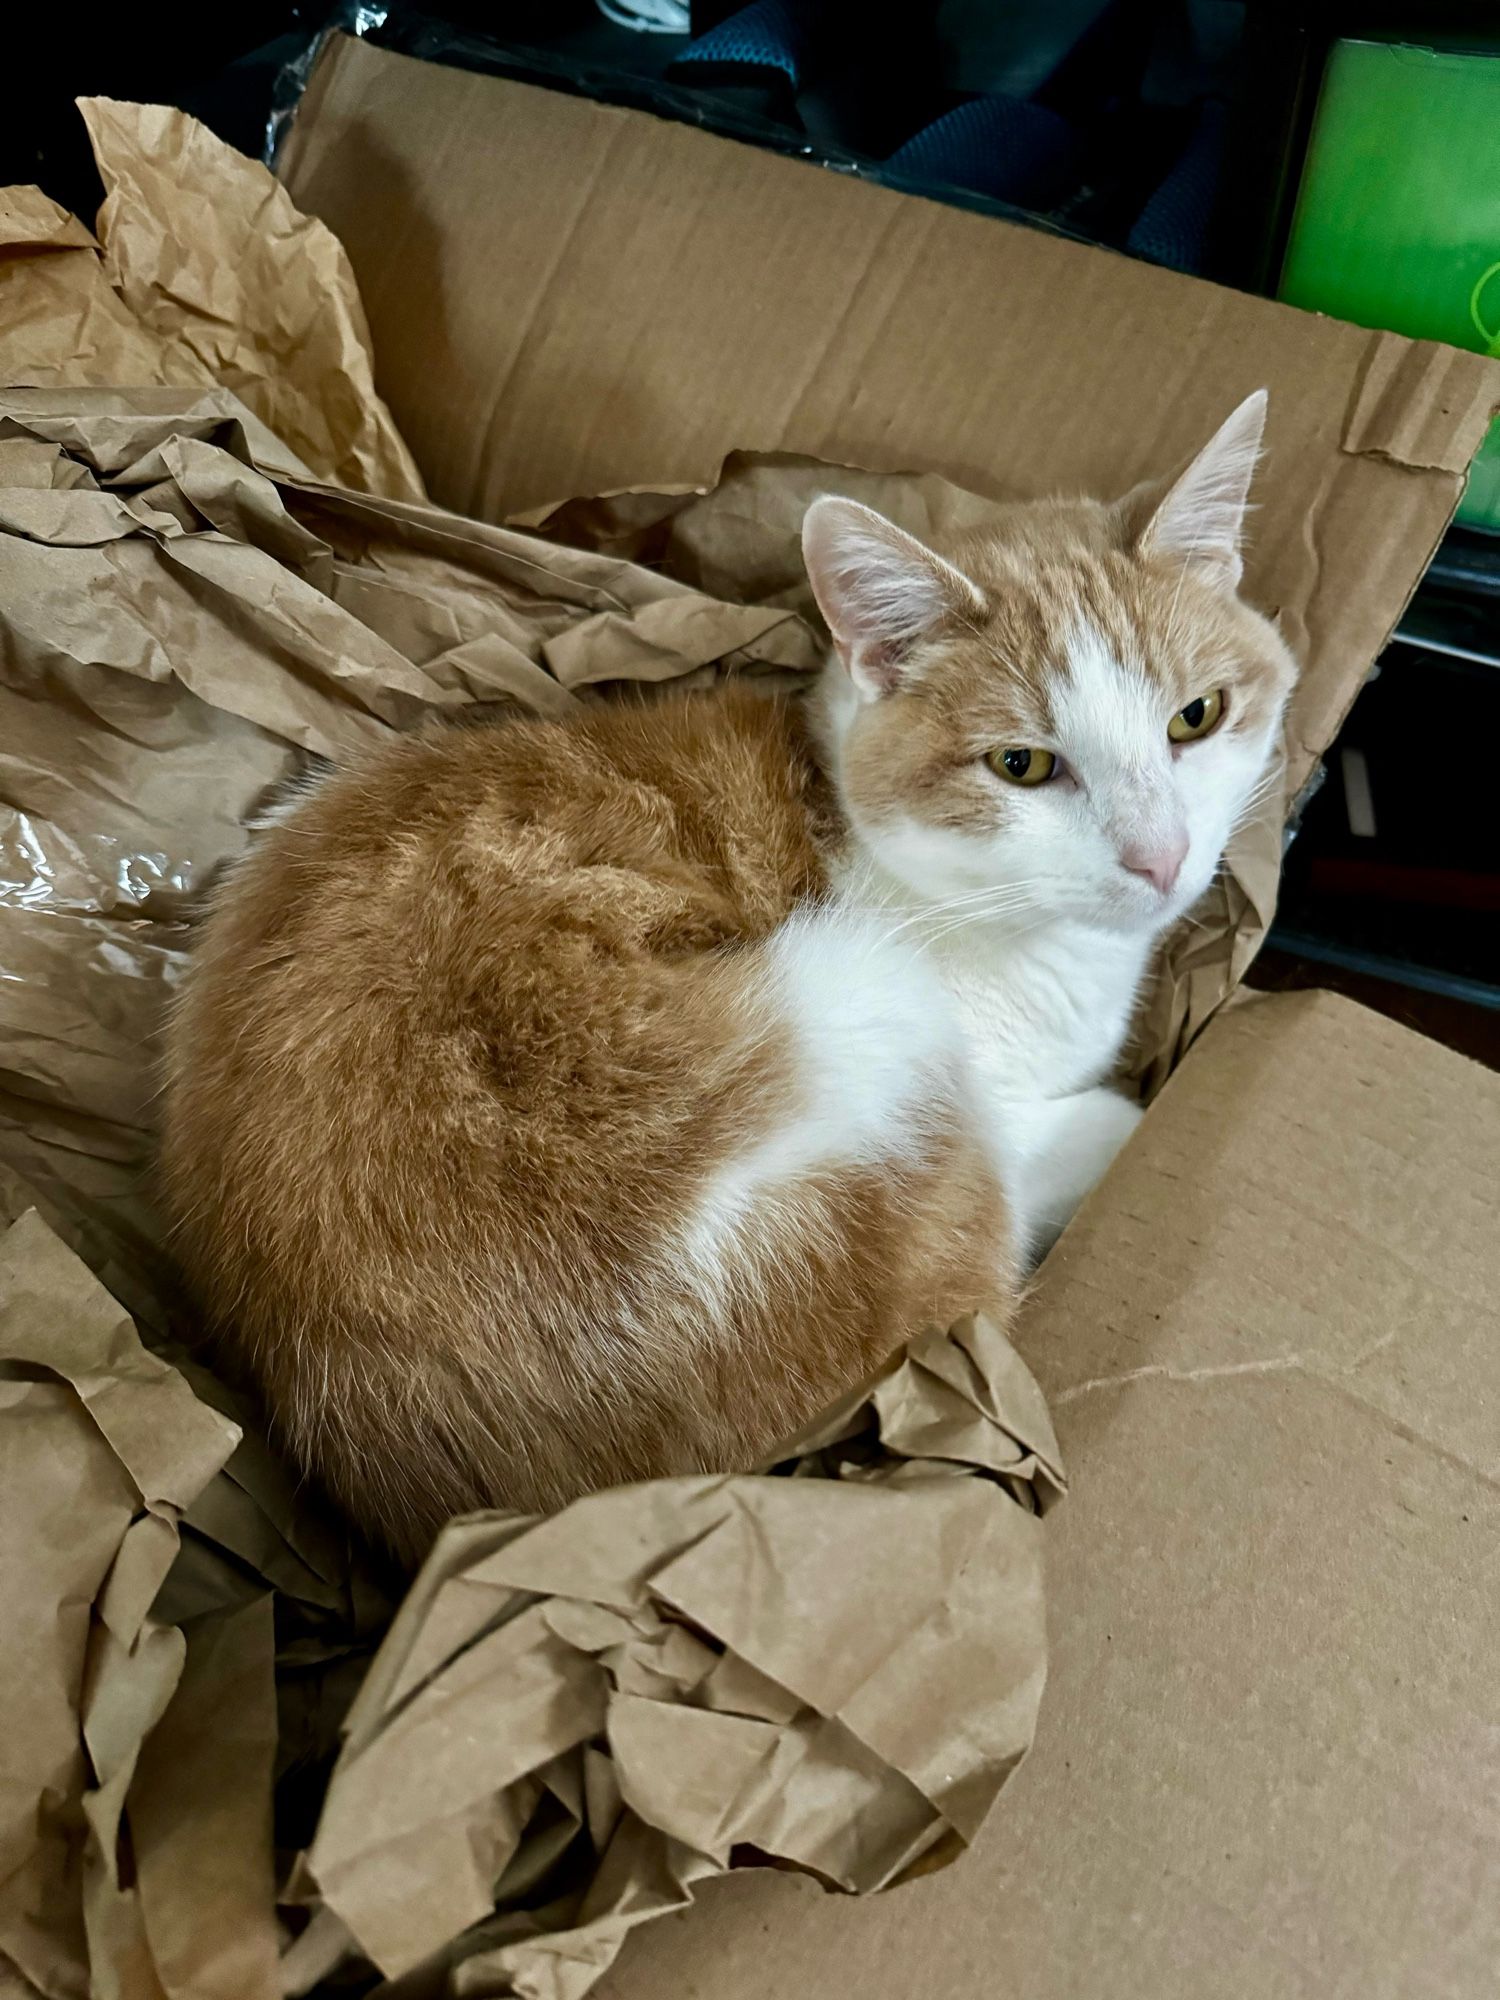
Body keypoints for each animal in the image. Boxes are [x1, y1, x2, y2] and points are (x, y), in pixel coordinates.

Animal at [159, 398, 1296, 1568]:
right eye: (1021, 766)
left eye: (1197, 716)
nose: (1161, 859)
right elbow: (1100, 1125)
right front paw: (1119, 1114)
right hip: (862, 1024)